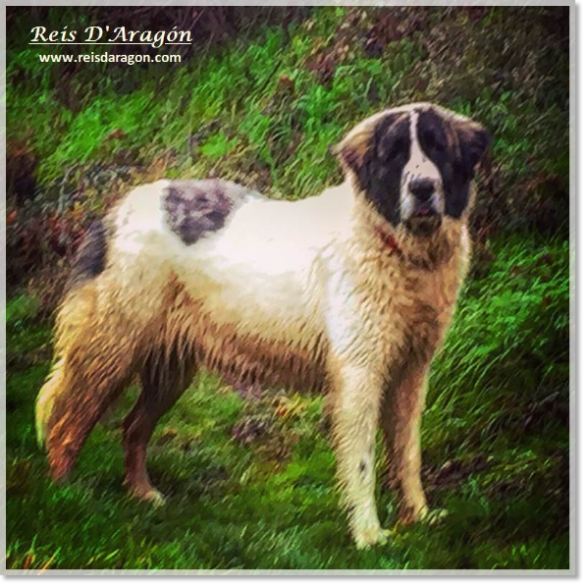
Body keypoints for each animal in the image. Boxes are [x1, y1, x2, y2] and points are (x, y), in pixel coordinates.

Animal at [34, 101, 486, 548]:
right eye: (394, 154)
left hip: (167, 367)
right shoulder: (360, 374)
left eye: (438, 147)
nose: (423, 188)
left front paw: (419, 516)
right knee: (66, 420)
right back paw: (63, 496)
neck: (394, 246)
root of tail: (115, 213)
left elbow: (408, 452)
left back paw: (143, 494)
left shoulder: (411, 372)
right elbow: (362, 461)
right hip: (110, 349)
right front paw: (369, 534)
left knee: (131, 426)